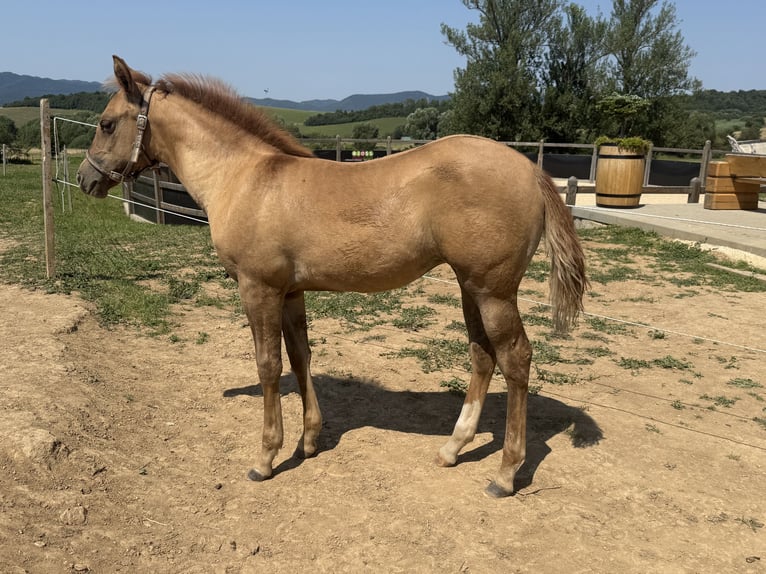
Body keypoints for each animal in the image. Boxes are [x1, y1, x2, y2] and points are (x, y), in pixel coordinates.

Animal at [77, 56, 587, 497]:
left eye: (106, 123)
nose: (86, 178)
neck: (245, 178)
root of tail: (531, 169)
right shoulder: (290, 293)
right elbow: (300, 356)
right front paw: (309, 441)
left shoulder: (258, 289)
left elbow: (268, 365)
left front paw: (266, 458)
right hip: (470, 287)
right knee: (482, 355)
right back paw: (452, 449)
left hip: (493, 290)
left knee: (516, 358)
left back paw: (505, 473)